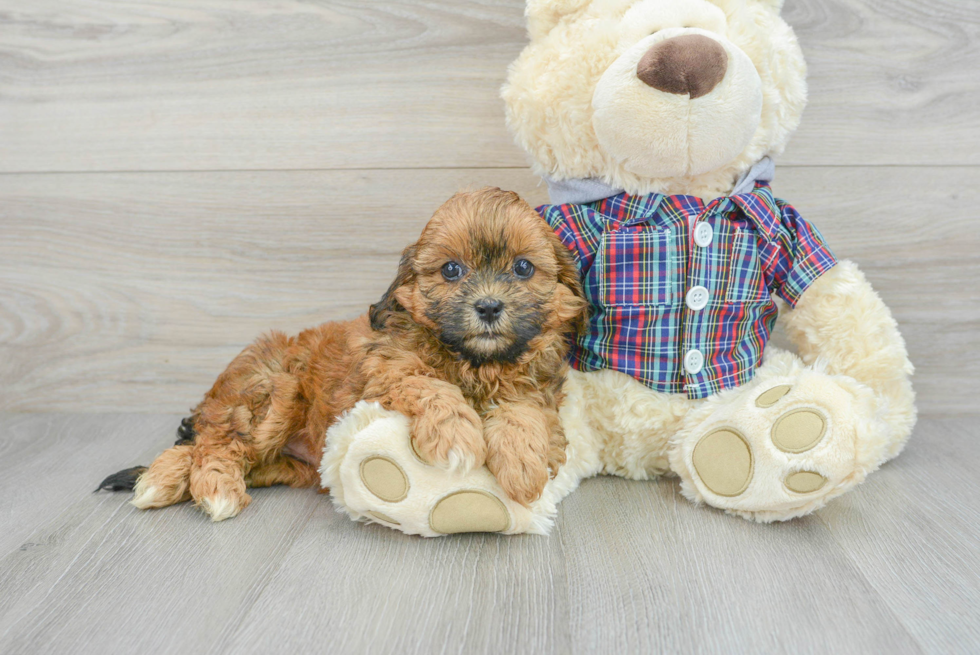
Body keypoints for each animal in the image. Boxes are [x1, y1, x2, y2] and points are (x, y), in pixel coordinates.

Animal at [103, 187, 584, 520]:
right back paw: (206, 488)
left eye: (522, 267)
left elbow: (523, 412)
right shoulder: (387, 371)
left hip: (282, 456)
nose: (488, 307)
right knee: (214, 444)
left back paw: (162, 480)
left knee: (217, 450)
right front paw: (457, 437)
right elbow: (429, 386)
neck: (477, 362)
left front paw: (523, 465)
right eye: (451, 270)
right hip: (271, 395)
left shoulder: (537, 390)